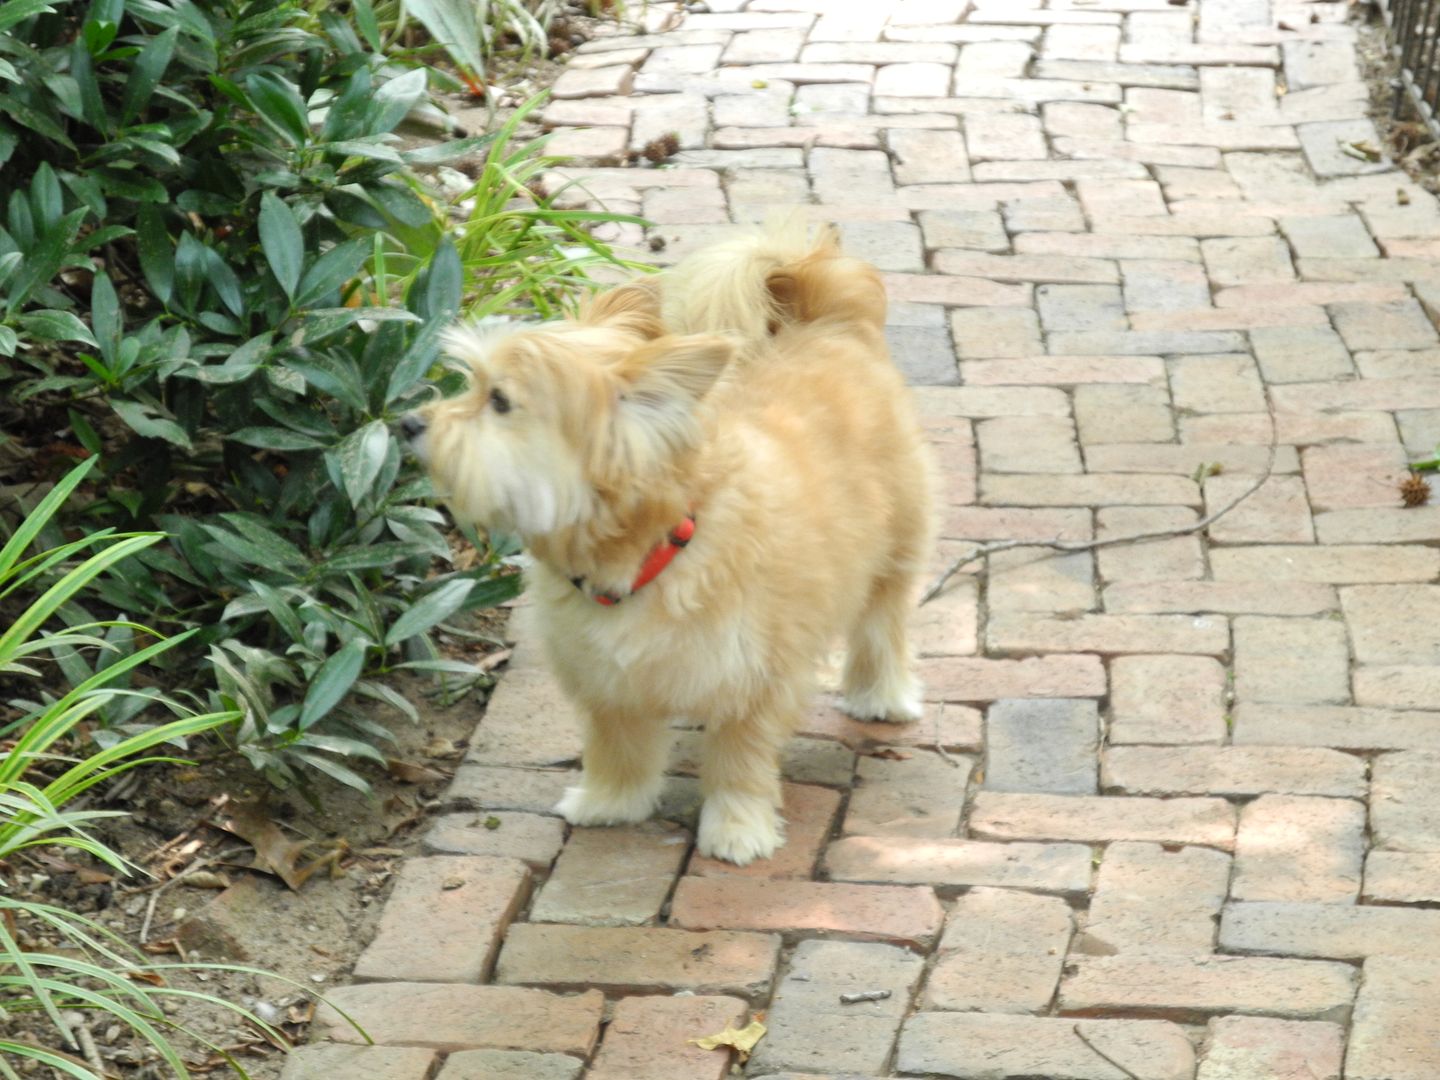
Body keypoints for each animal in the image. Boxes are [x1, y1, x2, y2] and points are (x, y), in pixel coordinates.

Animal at [408, 224, 933, 869]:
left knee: (881, 627)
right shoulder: (605, 681)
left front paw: (737, 828)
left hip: (894, 553)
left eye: (500, 401)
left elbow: (739, 761)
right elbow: (618, 745)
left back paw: (882, 696)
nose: (409, 423)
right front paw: (611, 801)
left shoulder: (754, 679)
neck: (652, 549)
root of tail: (827, 319)